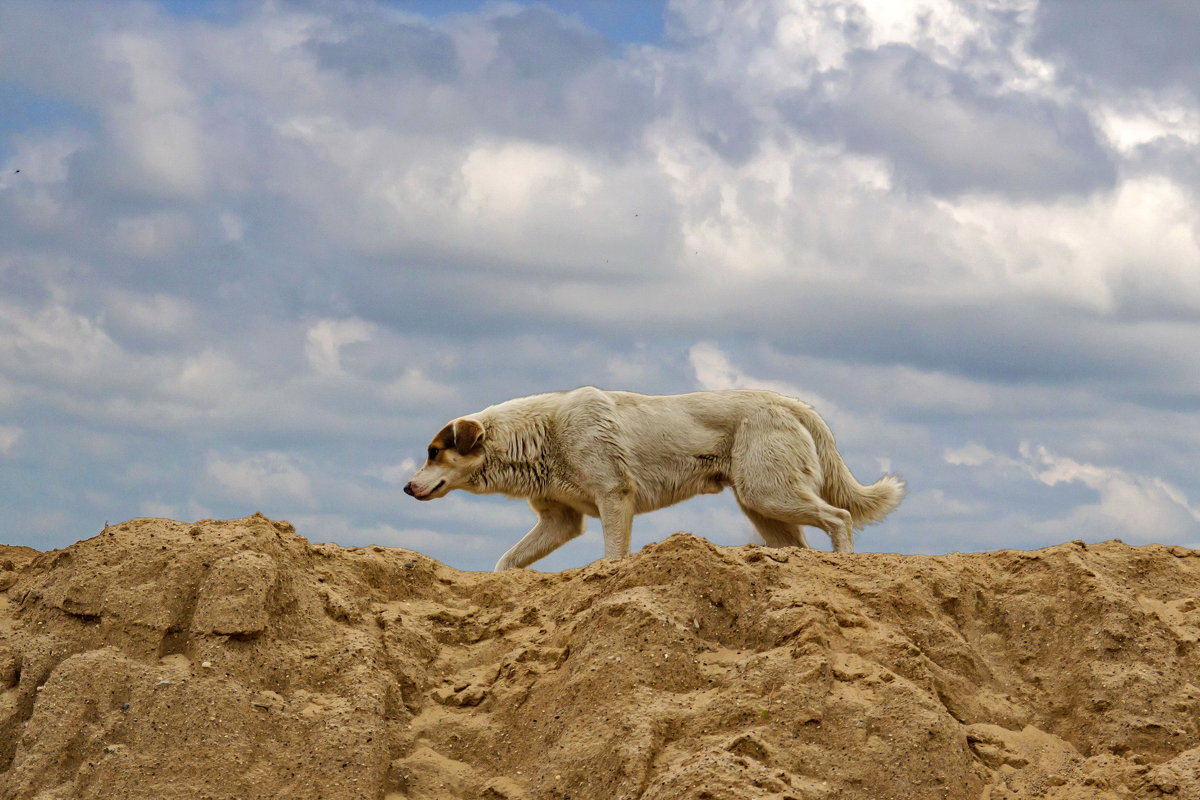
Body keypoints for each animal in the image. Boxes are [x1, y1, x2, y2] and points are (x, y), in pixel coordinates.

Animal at [403, 386, 902, 568]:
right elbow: (507, 560)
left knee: (839, 516)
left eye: (433, 453)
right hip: (763, 508)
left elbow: (611, 555)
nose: (407, 487)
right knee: (803, 543)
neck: (542, 434)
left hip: (770, 493)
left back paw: (845, 561)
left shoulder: (615, 497)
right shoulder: (561, 521)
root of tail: (789, 402)